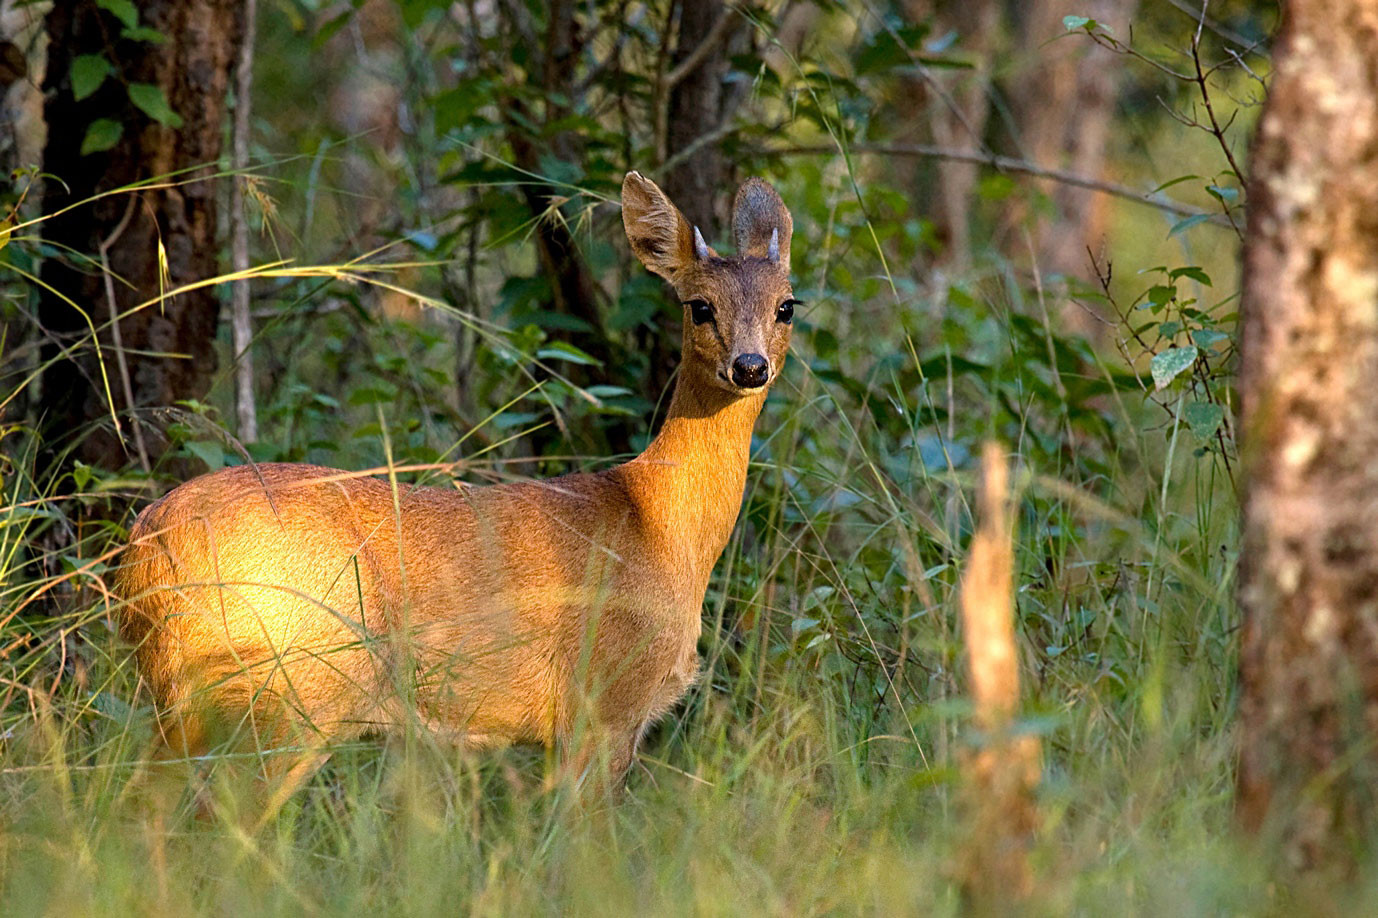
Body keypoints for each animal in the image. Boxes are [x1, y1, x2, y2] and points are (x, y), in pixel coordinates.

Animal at [114, 172, 798, 803]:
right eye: (699, 305)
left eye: (787, 304)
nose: (749, 366)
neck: (658, 522)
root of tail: (147, 543)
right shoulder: (602, 704)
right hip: (286, 690)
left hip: (190, 700)